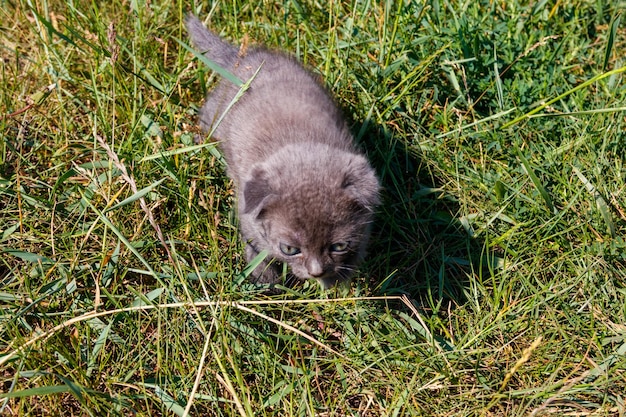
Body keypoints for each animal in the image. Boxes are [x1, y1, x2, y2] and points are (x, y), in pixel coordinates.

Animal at [185, 15, 378, 286]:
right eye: (289, 249)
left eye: (339, 246)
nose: (316, 271)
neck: (302, 146)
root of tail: (241, 57)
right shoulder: (247, 214)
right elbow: (255, 245)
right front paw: (264, 277)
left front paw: (337, 278)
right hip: (216, 115)